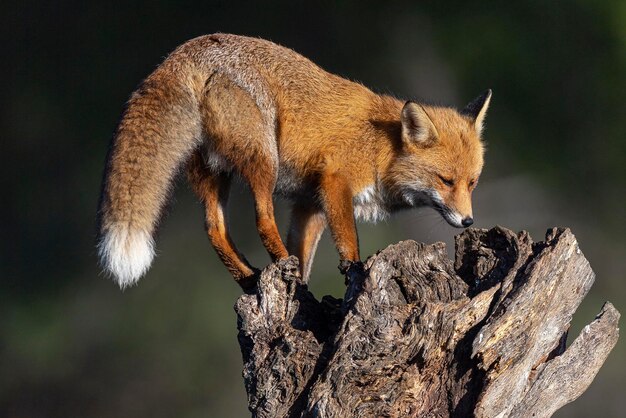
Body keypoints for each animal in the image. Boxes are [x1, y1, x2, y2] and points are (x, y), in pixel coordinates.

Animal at [95, 34, 490, 290]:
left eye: (471, 183)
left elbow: (305, 256)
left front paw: (304, 293)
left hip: (214, 172)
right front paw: (351, 273)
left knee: (214, 230)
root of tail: (186, 51)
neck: (381, 147)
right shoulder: (335, 181)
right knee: (261, 220)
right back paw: (276, 267)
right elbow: (348, 244)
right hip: (263, 158)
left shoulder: (310, 204)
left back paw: (252, 279)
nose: (468, 221)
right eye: (446, 180)